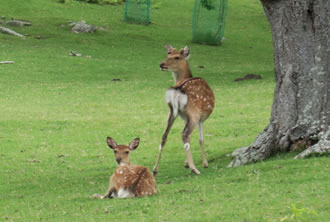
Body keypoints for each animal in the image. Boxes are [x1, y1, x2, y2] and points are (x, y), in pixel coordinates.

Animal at [153, 43, 215, 175]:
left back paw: (155, 169)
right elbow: (201, 139)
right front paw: (204, 163)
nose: (162, 64)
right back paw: (194, 169)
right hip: (194, 113)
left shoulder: (185, 118)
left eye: (176, 57)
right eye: (168, 55)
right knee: (184, 134)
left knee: (164, 135)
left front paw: (186, 163)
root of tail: (177, 90)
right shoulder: (200, 118)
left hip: (172, 111)